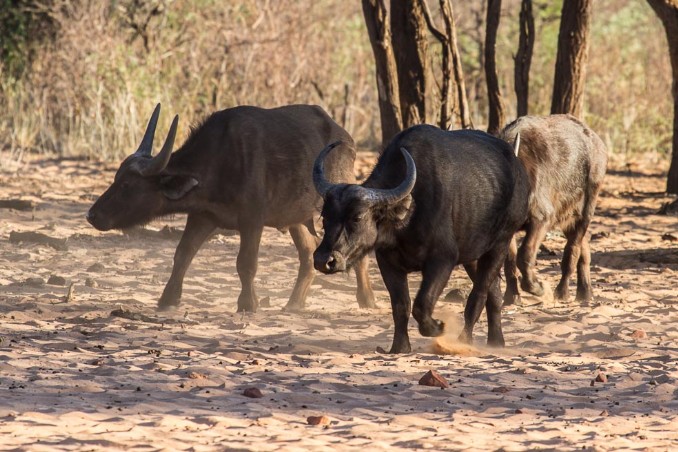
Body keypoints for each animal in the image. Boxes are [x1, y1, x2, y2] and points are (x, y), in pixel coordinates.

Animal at [86, 104, 378, 312]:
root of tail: (347, 140)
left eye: (126, 185)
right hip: (297, 217)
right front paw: (168, 299)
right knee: (307, 254)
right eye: (116, 178)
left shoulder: (252, 220)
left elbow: (245, 263)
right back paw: (294, 303)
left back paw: (367, 299)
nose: (92, 215)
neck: (218, 162)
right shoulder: (202, 216)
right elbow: (182, 255)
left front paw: (248, 304)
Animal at [314, 124, 532, 354]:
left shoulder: (442, 260)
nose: (323, 260)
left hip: (500, 244)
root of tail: (516, 166)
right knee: (494, 292)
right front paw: (399, 347)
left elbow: (422, 303)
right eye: (325, 216)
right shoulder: (388, 263)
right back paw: (496, 341)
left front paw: (438, 327)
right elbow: (401, 305)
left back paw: (464, 341)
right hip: (473, 254)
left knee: (479, 294)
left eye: (357, 217)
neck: (407, 218)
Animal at [500, 113, 612, 306]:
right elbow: (510, 260)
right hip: (569, 219)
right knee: (584, 250)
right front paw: (512, 296)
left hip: (586, 212)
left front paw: (537, 287)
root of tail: (597, 142)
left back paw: (562, 292)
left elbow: (525, 255)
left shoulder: (542, 219)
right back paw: (585, 292)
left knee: (572, 252)